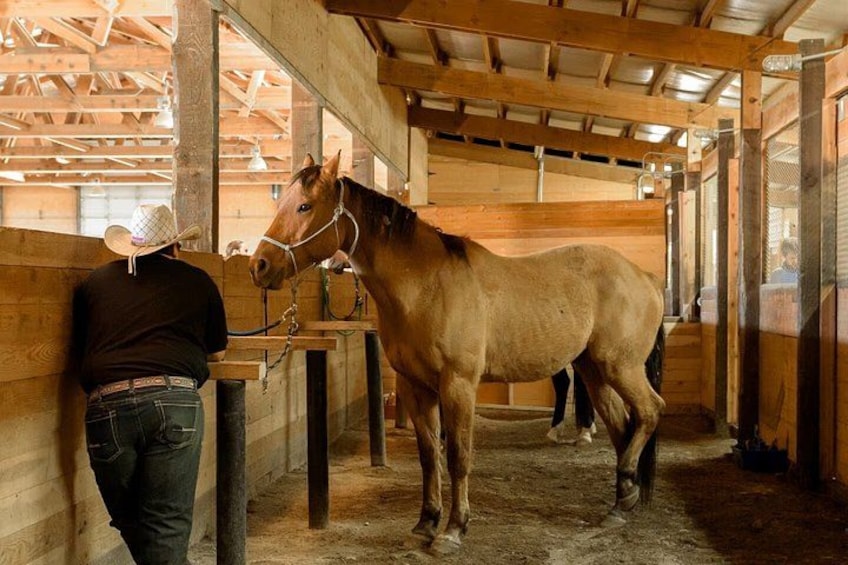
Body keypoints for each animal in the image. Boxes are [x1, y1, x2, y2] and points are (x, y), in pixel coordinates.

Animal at [249, 152, 666, 554]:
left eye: (305, 206)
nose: (259, 265)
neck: (426, 284)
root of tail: (645, 278)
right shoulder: (416, 387)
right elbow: (429, 457)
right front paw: (425, 523)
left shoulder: (458, 385)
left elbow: (458, 457)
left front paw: (453, 530)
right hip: (594, 370)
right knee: (622, 426)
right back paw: (622, 500)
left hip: (621, 367)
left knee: (648, 412)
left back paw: (625, 494)